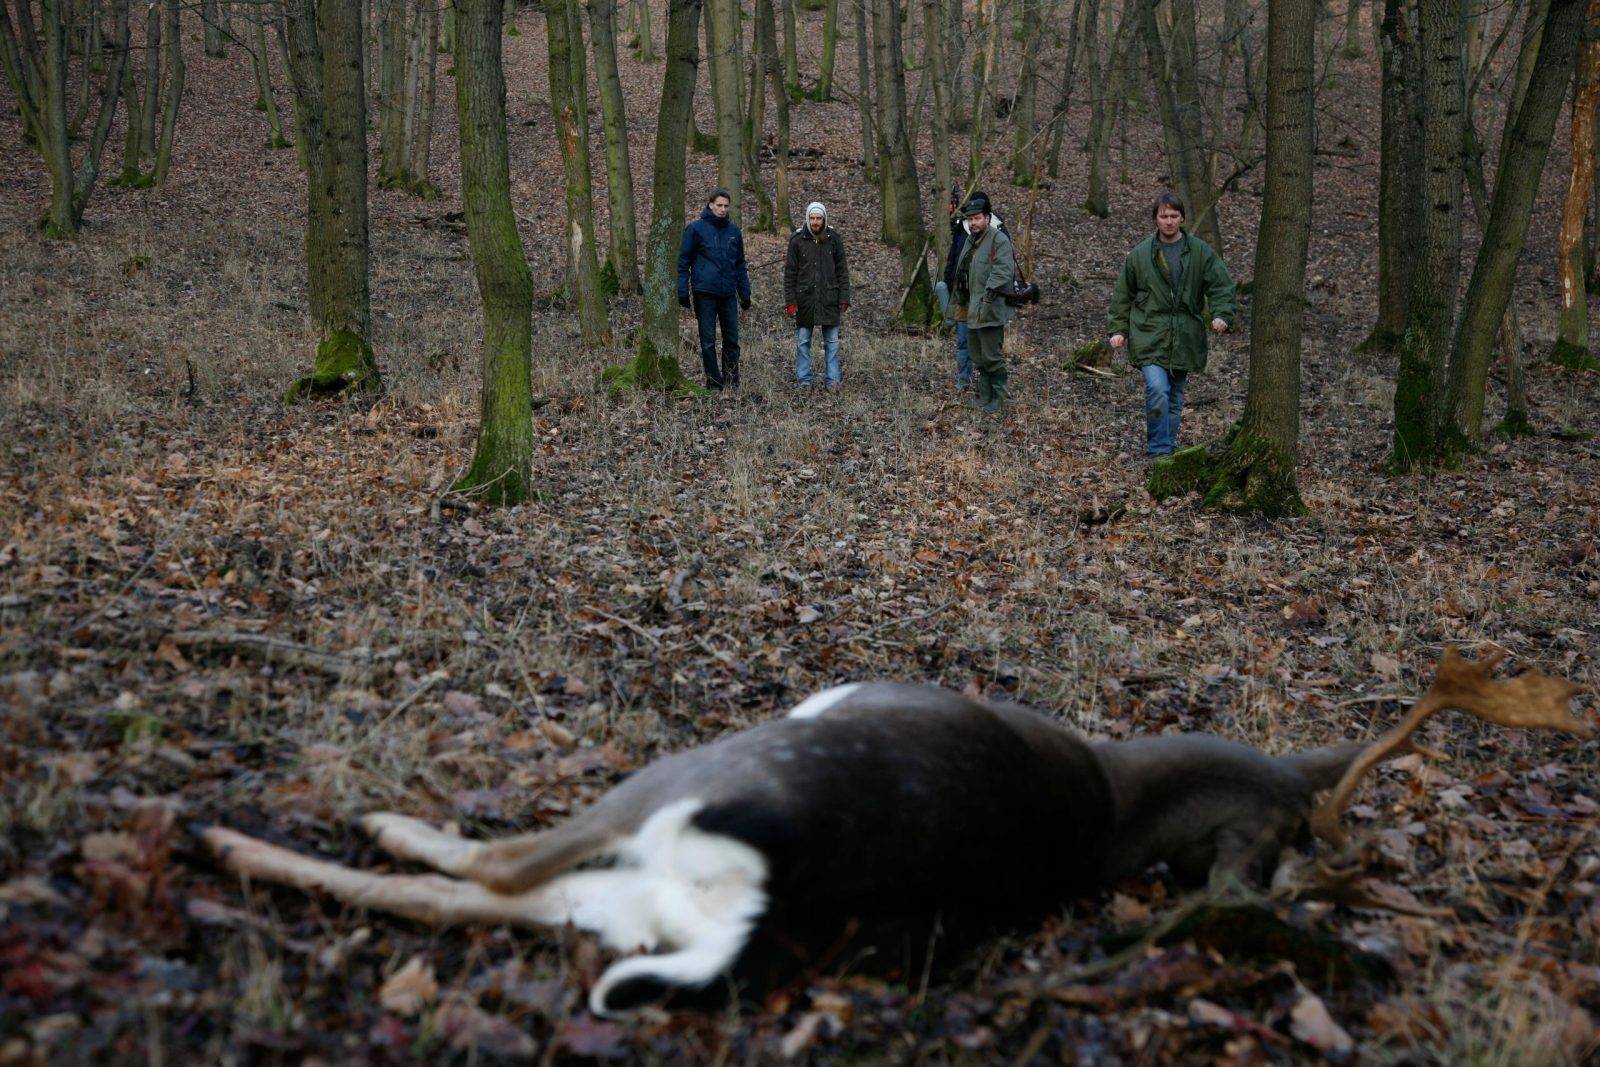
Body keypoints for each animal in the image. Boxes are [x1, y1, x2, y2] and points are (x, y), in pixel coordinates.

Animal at [206, 652, 1593, 1017]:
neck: (1115, 794)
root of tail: (764, 895)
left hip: (690, 780)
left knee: (487, 865)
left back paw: (284, 825)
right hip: (632, 898)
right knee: (473, 897)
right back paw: (246, 850)